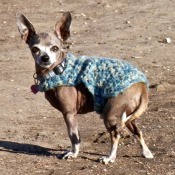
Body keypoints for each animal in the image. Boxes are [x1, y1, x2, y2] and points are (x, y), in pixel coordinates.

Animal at [16, 11, 153, 163]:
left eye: (55, 48)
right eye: (35, 49)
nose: (45, 58)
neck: (58, 69)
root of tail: (142, 85)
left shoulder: (69, 114)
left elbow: (74, 137)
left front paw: (73, 153)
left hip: (110, 115)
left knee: (116, 134)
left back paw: (109, 158)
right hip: (128, 116)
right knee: (137, 131)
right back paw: (146, 152)